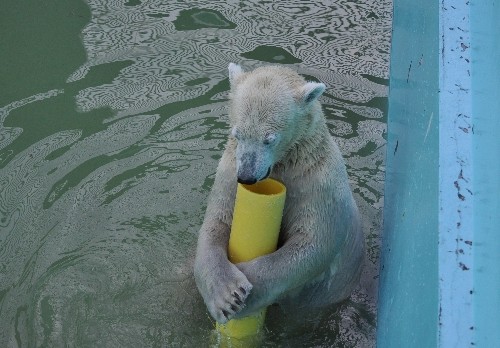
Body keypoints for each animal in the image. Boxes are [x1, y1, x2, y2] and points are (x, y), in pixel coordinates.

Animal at [192, 63, 364, 324]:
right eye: (237, 134)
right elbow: (216, 225)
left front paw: (246, 289)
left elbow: (312, 243)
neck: (284, 165)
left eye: (269, 139)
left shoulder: (317, 184)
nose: (247, 176)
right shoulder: (229, 174)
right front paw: (226, 296)